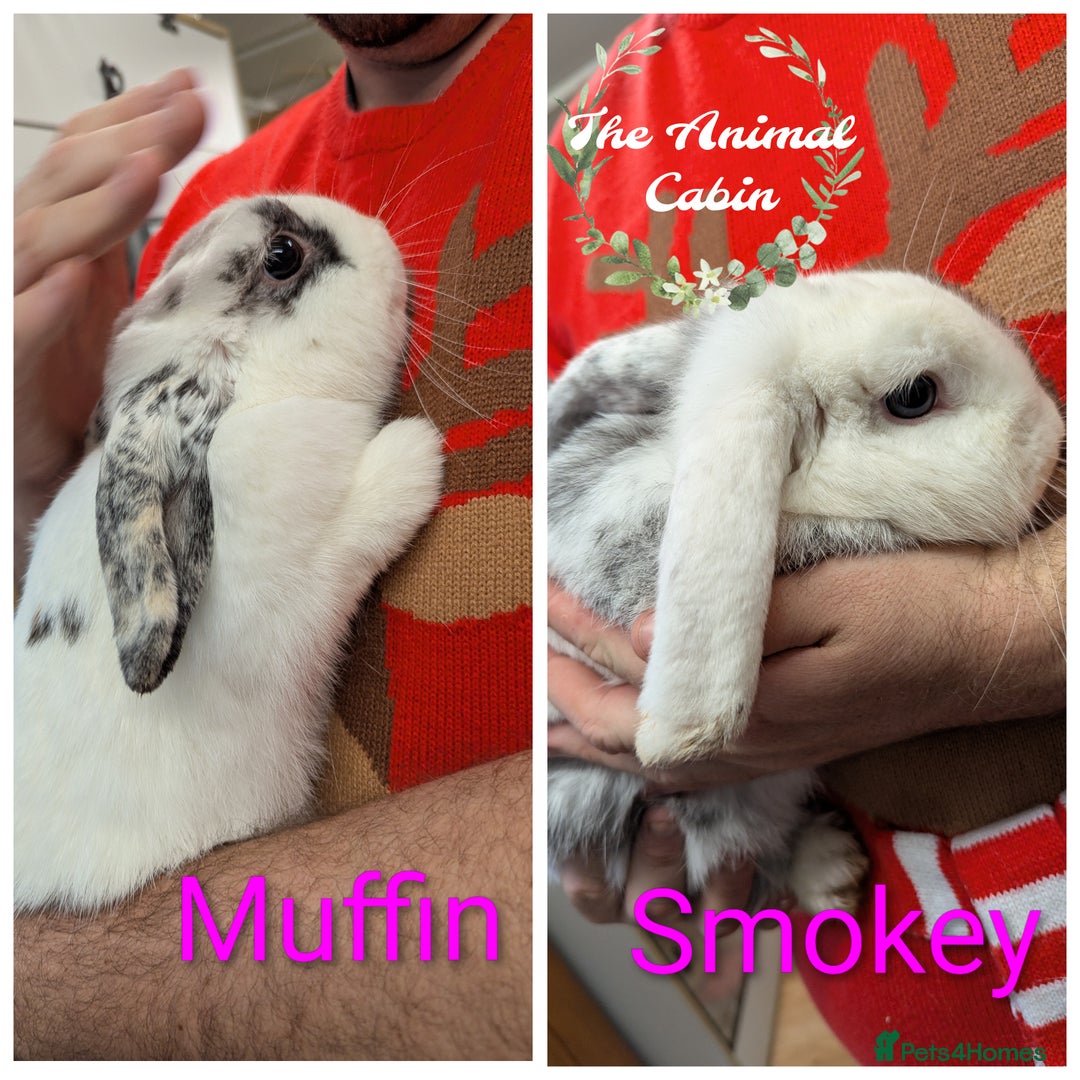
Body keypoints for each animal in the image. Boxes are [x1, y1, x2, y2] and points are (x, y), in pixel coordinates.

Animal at [15, 194, 445, 913]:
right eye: (282, 256)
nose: (381, 238)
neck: (256, 388)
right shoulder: (295, 596)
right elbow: (353, 536)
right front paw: (416, 453)